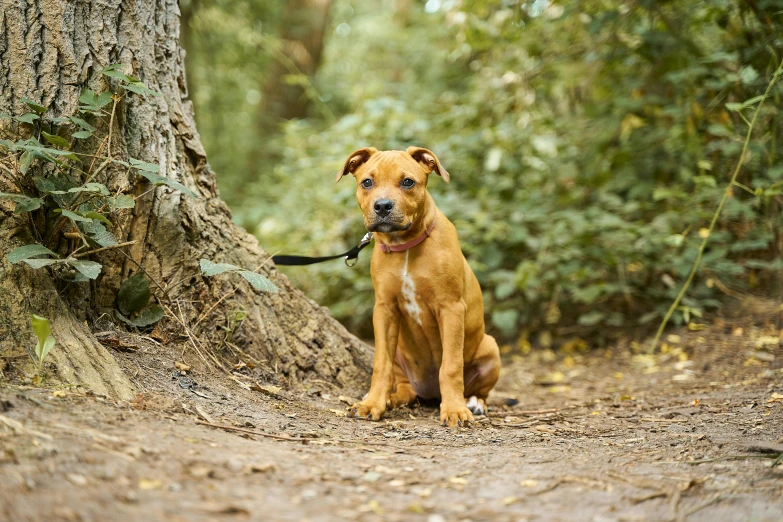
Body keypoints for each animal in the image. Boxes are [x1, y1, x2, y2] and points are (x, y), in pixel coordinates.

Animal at [336, 144, 502, 424]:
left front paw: (455, 410)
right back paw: (392, 399)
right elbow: (380, 365)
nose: (382, 206)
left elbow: (451, 366)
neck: (404, 246)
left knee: (480, 390)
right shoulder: (384, 309)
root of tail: (430, 393)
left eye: (408, 182)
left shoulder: (451, 308)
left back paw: (473, 403)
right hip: (400, 354)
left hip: (491, 347)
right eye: (367, 182)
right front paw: (372, 403)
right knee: (404, 386)